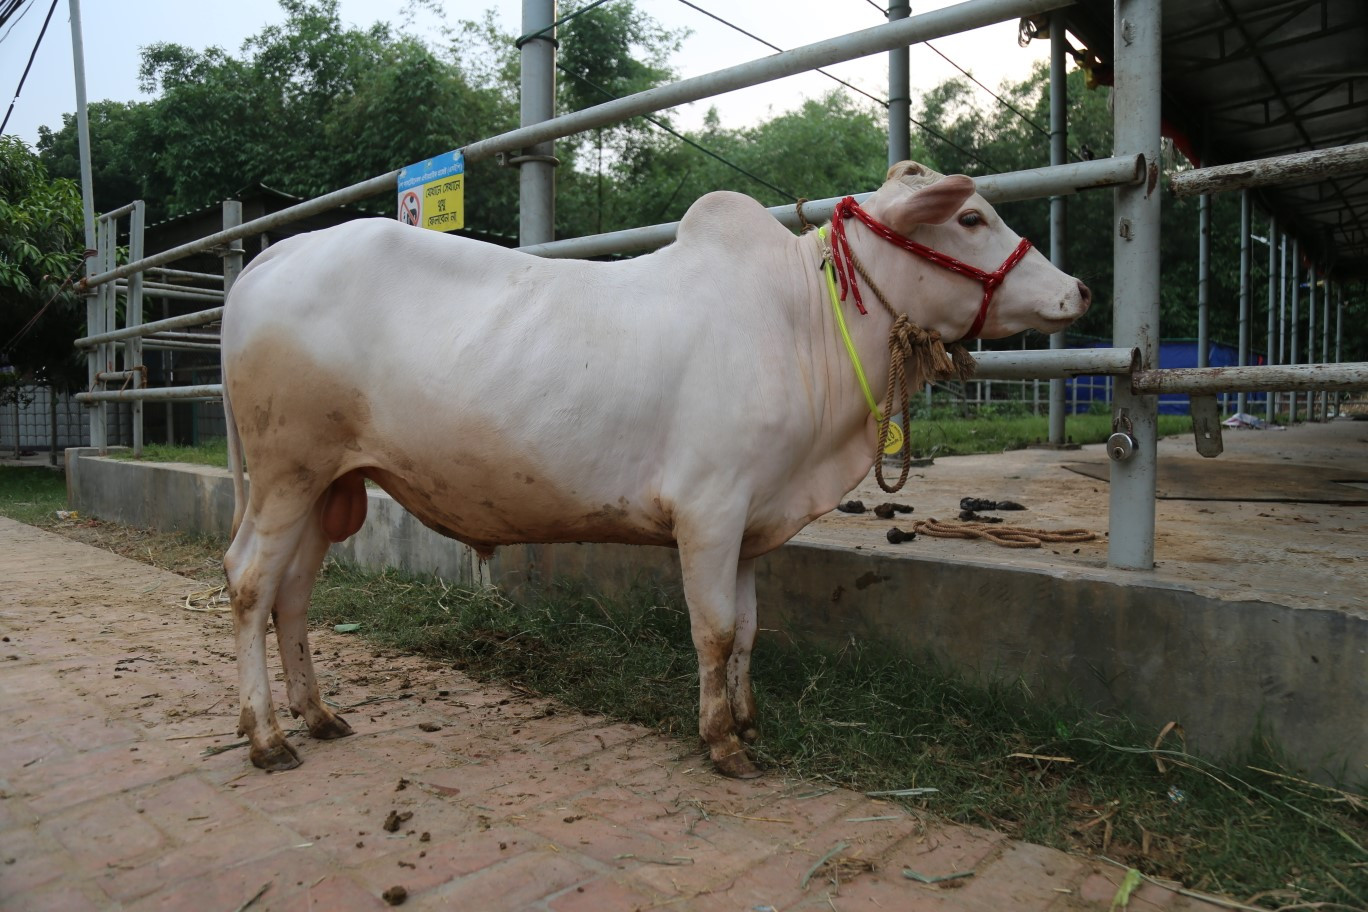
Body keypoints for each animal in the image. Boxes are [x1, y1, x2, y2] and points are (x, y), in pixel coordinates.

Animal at [220, 161, 1090, 777]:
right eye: (970, 217)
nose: (1078, 290)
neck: (800, 322)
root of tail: (272, 258)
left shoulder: (753, 522)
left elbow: (747, 630)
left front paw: (748, 720)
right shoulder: (710, 510)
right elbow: (713, 630)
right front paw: (723, 744)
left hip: (328, 485)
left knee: (293, 594)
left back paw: (318, 716)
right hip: (286, 473)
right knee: (250, 583)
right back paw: (267, 736)